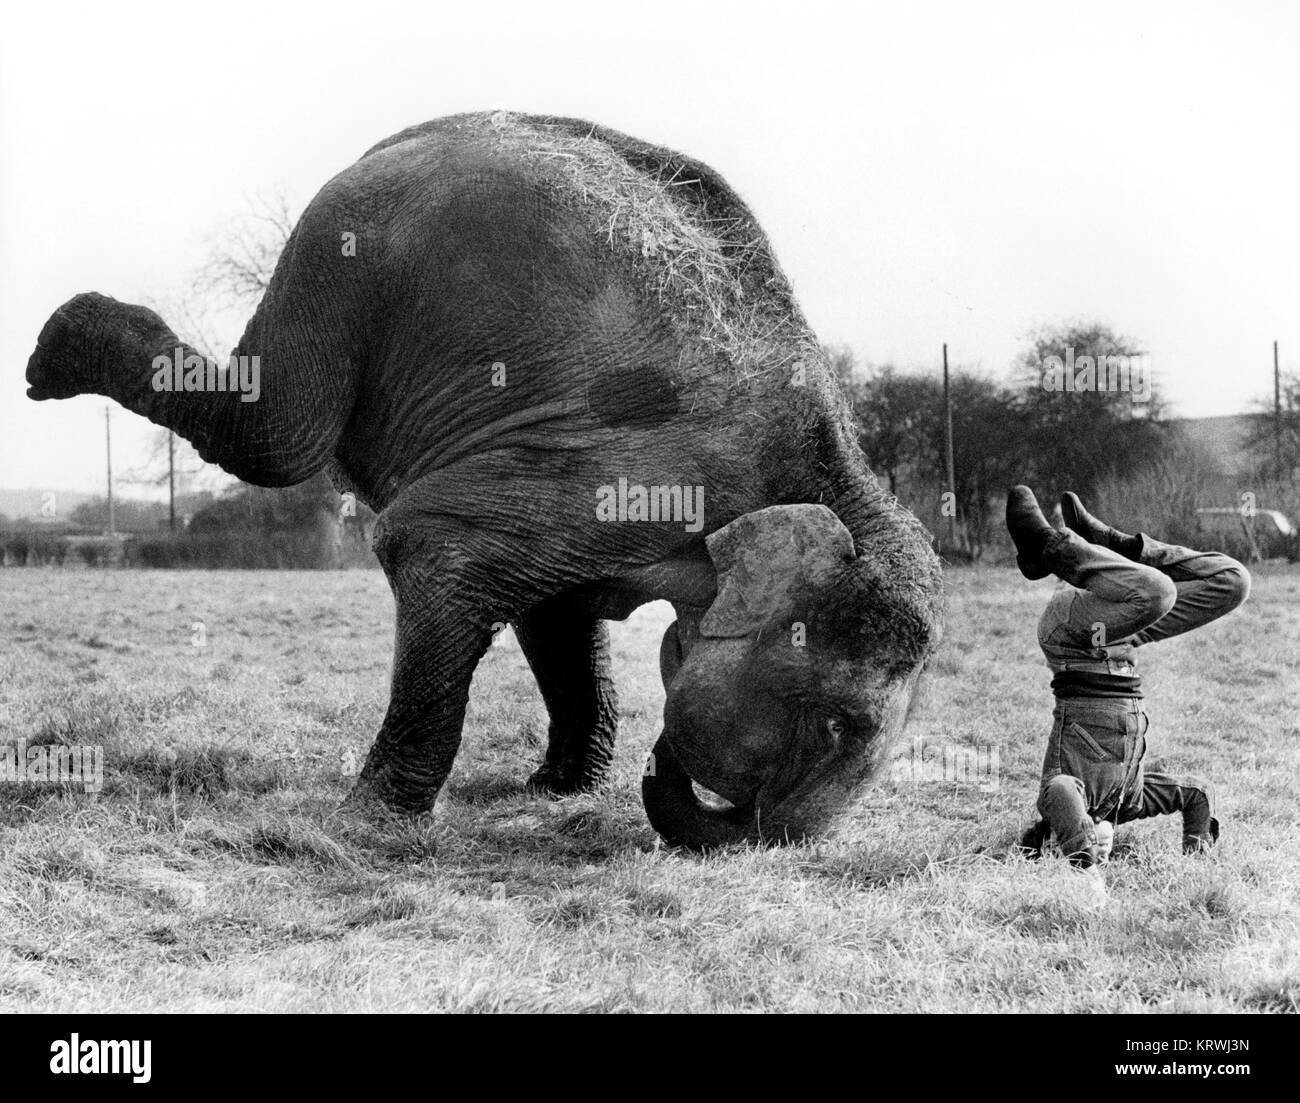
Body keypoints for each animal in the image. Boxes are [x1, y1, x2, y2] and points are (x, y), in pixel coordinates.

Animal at [25, 111, 946, 848]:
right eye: (836, 725)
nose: (667, 781)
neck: (838, 474)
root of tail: (406, 138)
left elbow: (556, 611)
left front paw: (558, 787)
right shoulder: (638, 472)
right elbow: (432, 548)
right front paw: (369, 823)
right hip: (343, 254)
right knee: (276, 435)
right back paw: (55, 350)